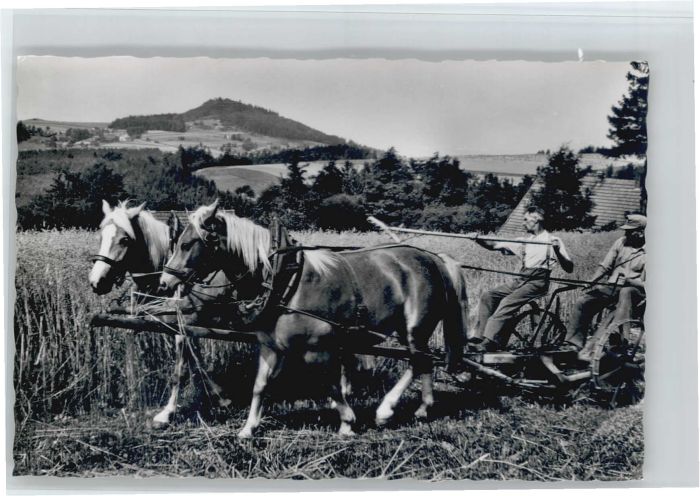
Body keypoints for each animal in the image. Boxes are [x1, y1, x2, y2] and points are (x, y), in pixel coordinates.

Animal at [89, 200, 231, 426]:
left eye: (125, 239)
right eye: (101, 235)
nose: (96, 282)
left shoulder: (182, 326)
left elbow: (180, 369)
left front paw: (168, 412)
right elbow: (194, 358)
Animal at [158, 200, 468, 438]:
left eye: (187, 244)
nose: (164, 282)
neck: (284, 281)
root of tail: (435, 259)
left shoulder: (316, 349)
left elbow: (329, 385)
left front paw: (347, 421)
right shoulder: (271, 347)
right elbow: (260, 386)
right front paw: (248, 428)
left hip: (415, 326)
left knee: (416, 361)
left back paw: (385, 410)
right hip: (411, 330)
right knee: (424, 361)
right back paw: (423, 407)